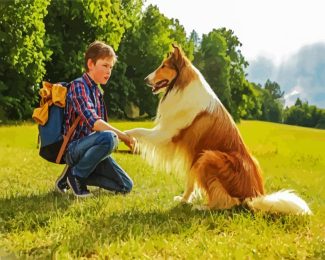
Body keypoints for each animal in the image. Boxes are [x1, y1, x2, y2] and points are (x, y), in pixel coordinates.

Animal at [124, 44, 312, 215]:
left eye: (164, 66)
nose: (145, 79)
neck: (182, 86)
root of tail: (254, 195)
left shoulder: (167, 135)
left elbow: (138, 130)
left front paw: (123, 135)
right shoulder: (193, 156)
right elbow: (190, 182)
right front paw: (183, 200)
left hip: (208, 157)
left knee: (229, 202)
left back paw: (203, 207)